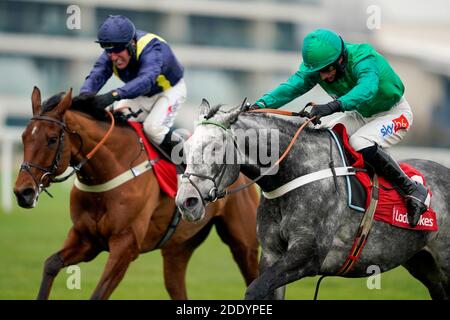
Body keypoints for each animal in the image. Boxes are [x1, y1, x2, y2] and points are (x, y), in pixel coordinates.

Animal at [14, 88, 258, 300]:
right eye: (24, 136)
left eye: (52, 139)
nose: (22, 192)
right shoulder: (86, 238)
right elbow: (50, 264)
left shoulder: (126, 245)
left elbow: (98, 293)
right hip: (178, 247)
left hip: (244, 243)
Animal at [175, 100, 450, 300]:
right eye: (185, 148)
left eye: (214, 148)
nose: (186, 201)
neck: (295, 172)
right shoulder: (272, 255)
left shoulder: (307, 256)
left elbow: (254, 290)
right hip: (424, 265)